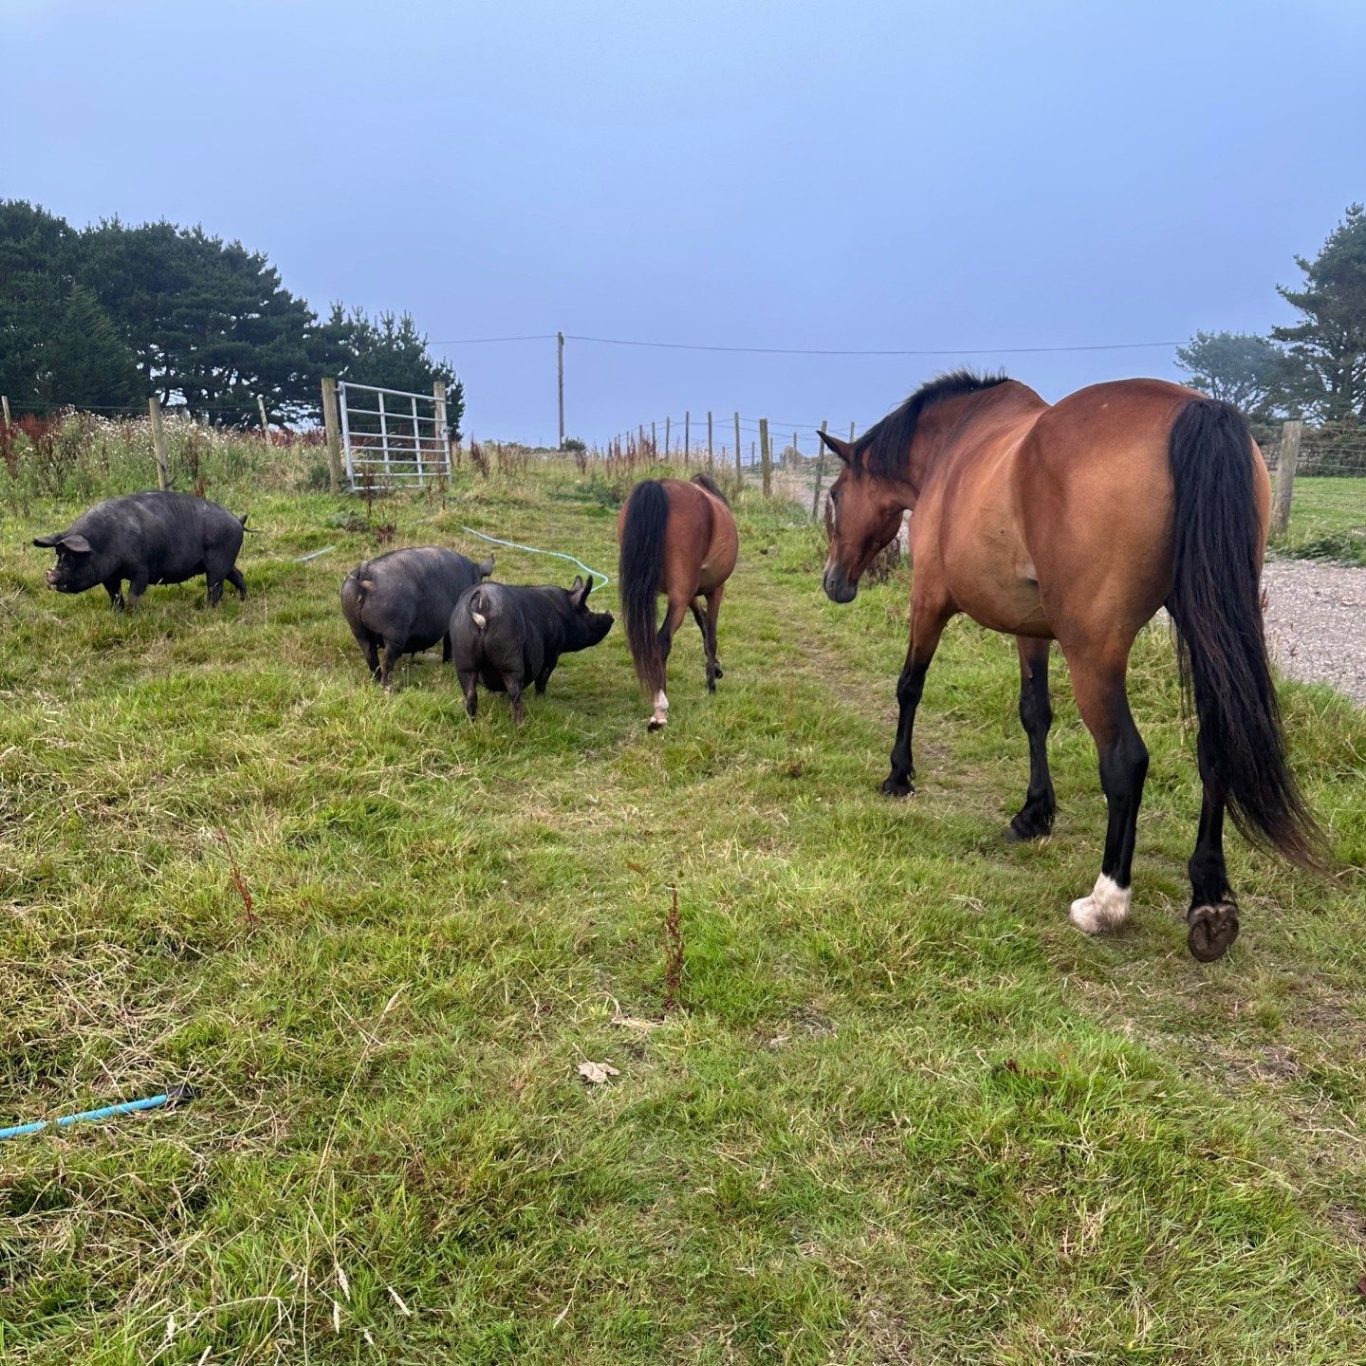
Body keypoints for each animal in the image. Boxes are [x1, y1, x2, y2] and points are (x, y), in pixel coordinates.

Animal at [617, 472, 739, 730]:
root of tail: (660, 487)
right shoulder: (715, 590)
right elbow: (710, 635)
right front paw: (711, 684)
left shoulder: (690, 594)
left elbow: (702, 621)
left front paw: (714, 669)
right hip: (680, 599)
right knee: (662, 640)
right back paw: (660, 709)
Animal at [818, 370, 1323, 962]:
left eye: (834, 495)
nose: (834, 582)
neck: (954, 444)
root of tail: (1196, 410)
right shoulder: (1031, 628)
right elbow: (1034, 713)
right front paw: (1034, 814)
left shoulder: (928, 600)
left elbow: (910, 686)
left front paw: (898, 775)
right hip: (1207, 631)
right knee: (1215, 747)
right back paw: (1209, 901)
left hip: (1094, 653)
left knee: (1125, 759)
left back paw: (1105, 902)